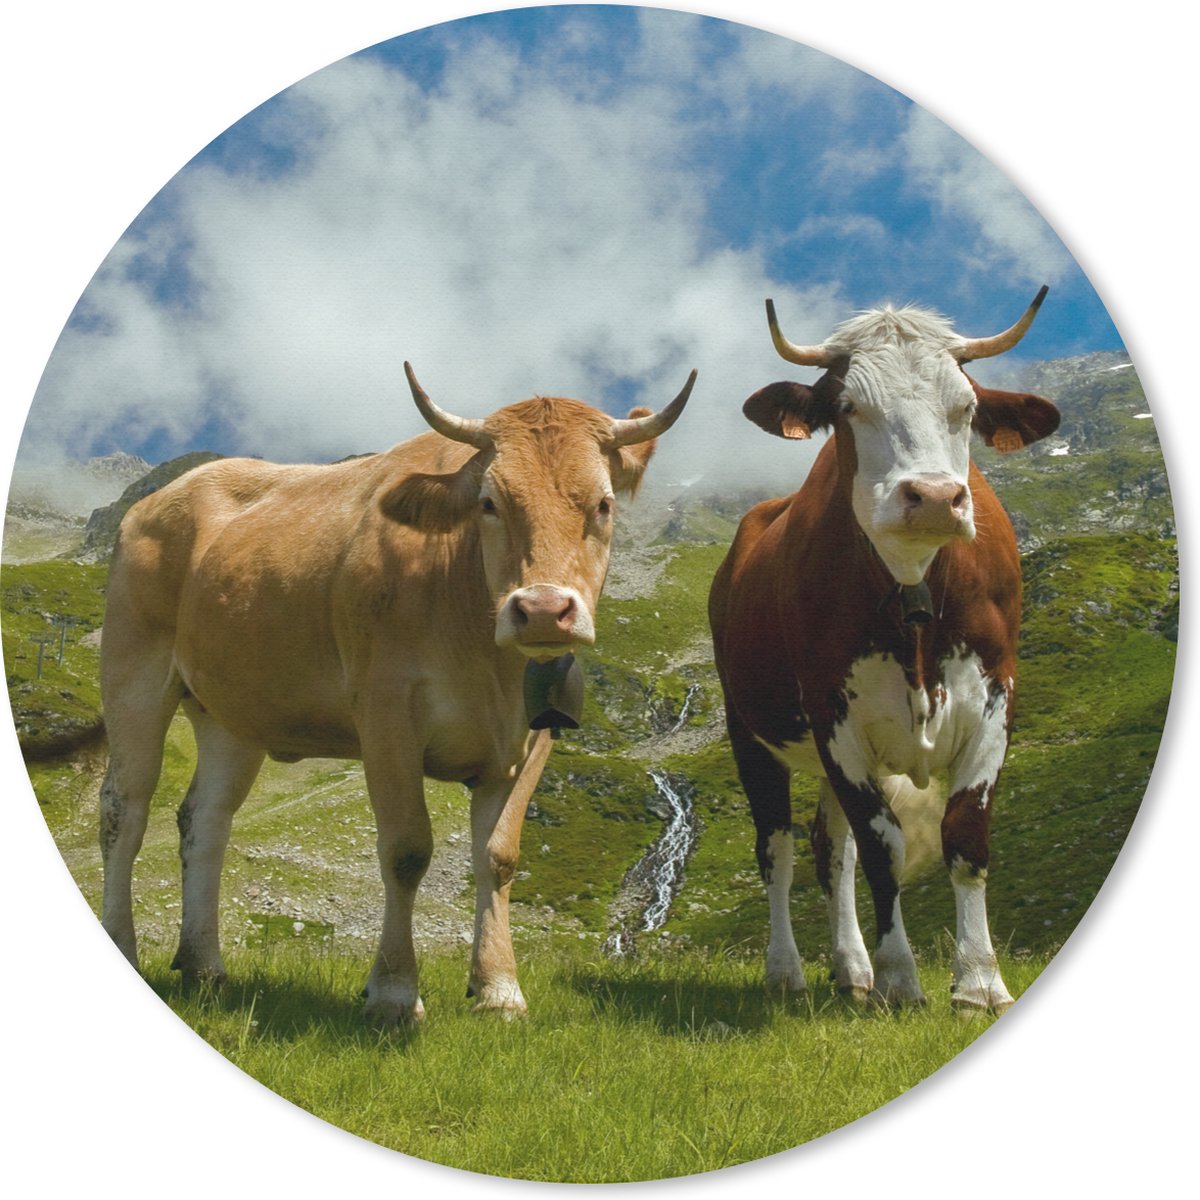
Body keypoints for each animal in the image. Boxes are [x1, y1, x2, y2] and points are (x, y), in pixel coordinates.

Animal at [99, 363, 696, 1024]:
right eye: (489, 503)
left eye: (603, 504)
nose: (542, 610)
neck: (485, 655)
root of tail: (162, 497)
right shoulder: (385, 714)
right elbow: (406, 851)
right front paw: (393, 992)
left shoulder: (533, 739)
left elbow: (499, 857)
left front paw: (498, 988)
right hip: (134, 672)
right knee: (125, 810)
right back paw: (124, 945)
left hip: (231, 712)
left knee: (205, 820)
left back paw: (204, 964)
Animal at [708, 291, 1059, 1011]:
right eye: (848, 407)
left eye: (968, 407)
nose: (933, 497)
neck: (913, 587)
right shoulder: (835, 718)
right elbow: (882, 847)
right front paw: (902, 979)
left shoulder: (995, 699)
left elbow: (965, 835)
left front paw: (979, 981)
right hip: (749, 731)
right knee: (778, 848)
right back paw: (787, 970)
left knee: (829, 848)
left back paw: (851, 969)